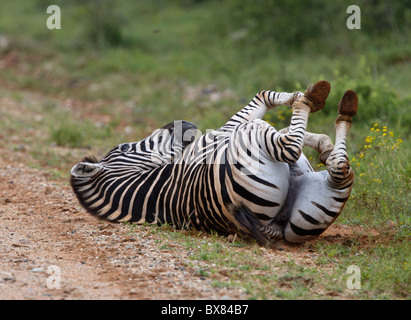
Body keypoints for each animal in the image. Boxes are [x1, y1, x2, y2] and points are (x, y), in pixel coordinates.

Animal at [70, 80, 358, 245]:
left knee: (339, 170)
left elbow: (270, 107)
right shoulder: (226, 130)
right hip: (252, 137)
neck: (150, 191)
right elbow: (262, 97)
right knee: (289, 147)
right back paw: (330, 106)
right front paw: (307, 98)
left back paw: (342, 115)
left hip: (308, 216)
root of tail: (268, 227)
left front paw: (322, 143)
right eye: (124, 147)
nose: (181, 123)